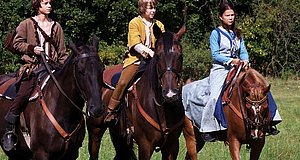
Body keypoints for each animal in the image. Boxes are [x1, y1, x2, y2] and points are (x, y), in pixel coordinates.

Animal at [85, 24, 186, 159]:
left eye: (180, 56)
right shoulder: (145, 145)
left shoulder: (172, 146)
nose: (170, 93)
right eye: (158, 56)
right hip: (95, 131)